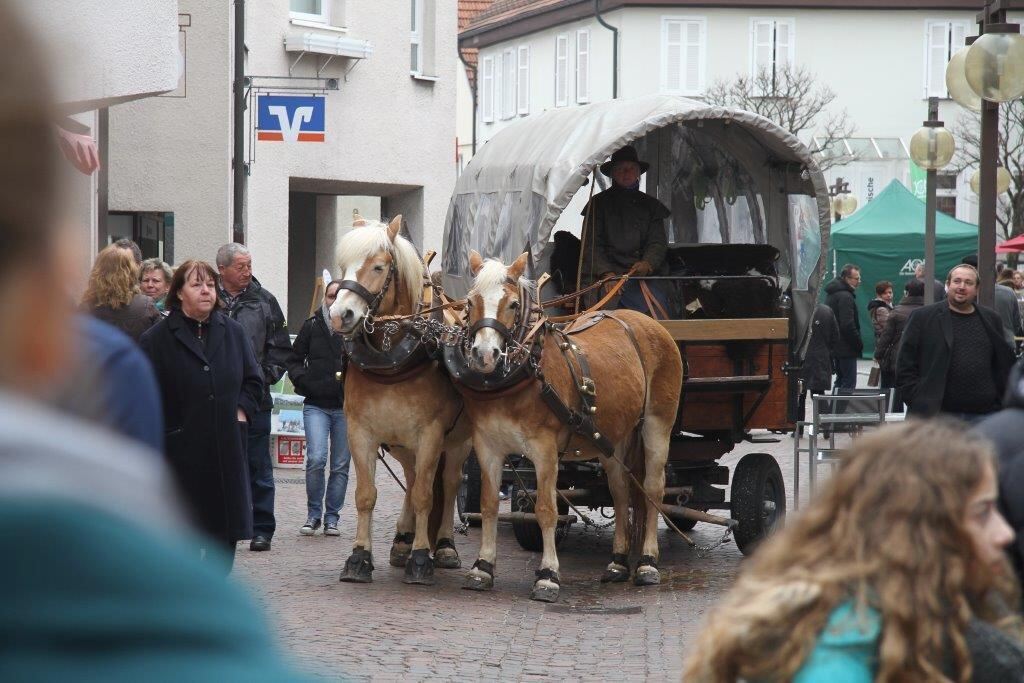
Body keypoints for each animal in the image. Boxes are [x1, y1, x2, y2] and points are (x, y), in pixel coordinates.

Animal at [329, 216, 468, 585]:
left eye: (379, 267)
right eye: (343, 266)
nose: (339, 315)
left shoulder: (431, 434)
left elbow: (425, 495)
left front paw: (421, 558)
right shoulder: (359, 431)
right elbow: (366, 495)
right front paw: (359, 557)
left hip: (458, 442)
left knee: (448, 483)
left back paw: (444, 546)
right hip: (401, 441)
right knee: (411, 475)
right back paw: (403, 540)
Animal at [454, 252, 679, 602]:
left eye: (513, 304)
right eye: (470, 301)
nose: (484, 355)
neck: (523, 374)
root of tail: (648, 322)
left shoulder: (545, 450)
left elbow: (546, 510)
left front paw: (547, 576)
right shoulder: (488, 447)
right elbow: (488, 505)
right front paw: (483, 568)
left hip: (657, 425)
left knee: (653, 489)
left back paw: (646, 563)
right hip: (614, 437)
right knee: (621, 493)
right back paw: (618, 563)